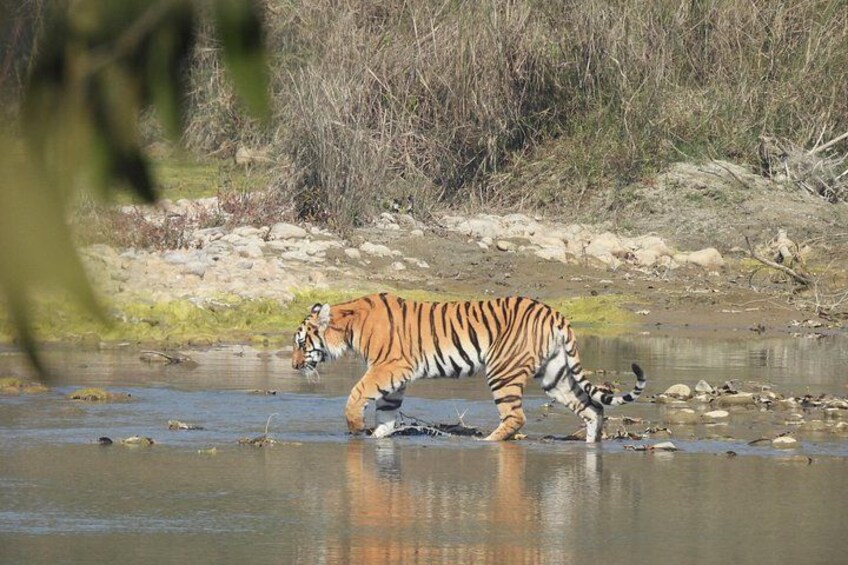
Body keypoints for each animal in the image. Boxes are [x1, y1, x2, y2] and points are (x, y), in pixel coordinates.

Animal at [291, 293, 646, 442]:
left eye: (300, 343)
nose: (294, 366)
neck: (348, 326)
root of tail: (553, 313)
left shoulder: (390, 366)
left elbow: (357, 393)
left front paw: (355, 426)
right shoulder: (396, 376)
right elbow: (387, 411)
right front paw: (378, 435)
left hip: (503, 371)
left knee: (516, 417)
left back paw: (486, 442)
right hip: (554, 374)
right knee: (593, 408)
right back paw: (592, 444)